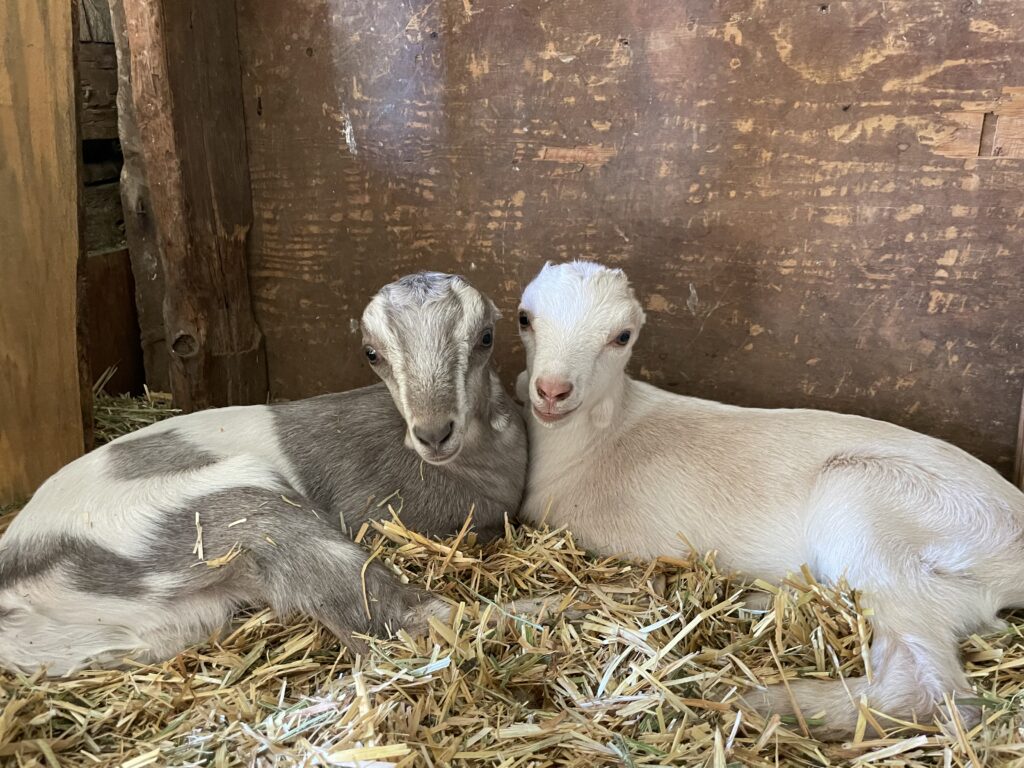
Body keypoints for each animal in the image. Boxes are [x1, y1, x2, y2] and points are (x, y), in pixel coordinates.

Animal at [0, 272, 527, 676]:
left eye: (486, 337)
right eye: (371, 353)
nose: (433, 432)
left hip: (181, 619)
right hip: (237, 506)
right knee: (395, 616)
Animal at [514, 260, 1024, 739]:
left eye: (621, 336)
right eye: (525, 318)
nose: (552, 391)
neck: (599, 437)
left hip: (869, 514)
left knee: (930, 689)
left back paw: (756, 701)